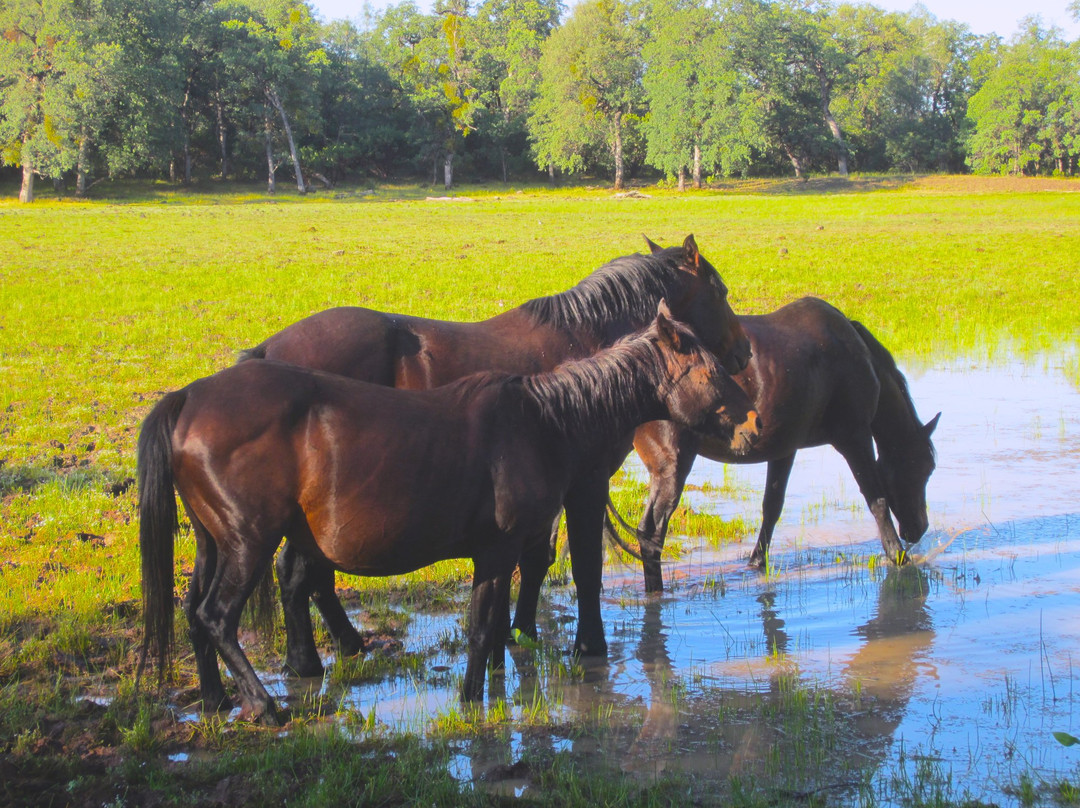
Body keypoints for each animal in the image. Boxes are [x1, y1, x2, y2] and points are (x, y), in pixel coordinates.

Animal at [137, 306, 760, 721]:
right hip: (248, 543)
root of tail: (190, 397)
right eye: (709, 371)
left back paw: (217, 699)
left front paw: (485, 694)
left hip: (214, 541)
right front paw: (470, 703)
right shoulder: (497, 550)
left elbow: (494, 630)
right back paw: (265, 704)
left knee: (194, 611)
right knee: (218, 616)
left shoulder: (502, 554)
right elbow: (483, 628)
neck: (544, 423)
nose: (752, 420)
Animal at [238, 235, 751, 674]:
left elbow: (535, 560)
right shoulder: (586, 483)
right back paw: (314, 658)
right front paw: (583, 644)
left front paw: (514, 633)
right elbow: (580, 565)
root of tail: (267, 351)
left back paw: (344, 645)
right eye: (721, 291)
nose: (744, 352)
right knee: (299, 572)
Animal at [630, 293, 941, 591]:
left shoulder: (784, 449)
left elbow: (772, 507)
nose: (919, 528)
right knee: (651, 532)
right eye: (924, 469)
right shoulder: (855, 438)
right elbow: (877, 500)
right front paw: (897, 555)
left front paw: (757, 561)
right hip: (672, 468)